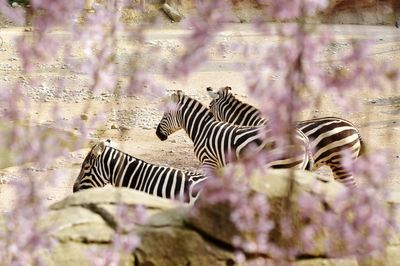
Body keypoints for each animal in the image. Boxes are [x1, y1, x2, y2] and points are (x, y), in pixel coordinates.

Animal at [155, 90, 314, 172]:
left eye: (165, 115)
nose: (157, 134)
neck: (202, 129)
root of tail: (305, 140)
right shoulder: (218, 165)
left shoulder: (208, 162)